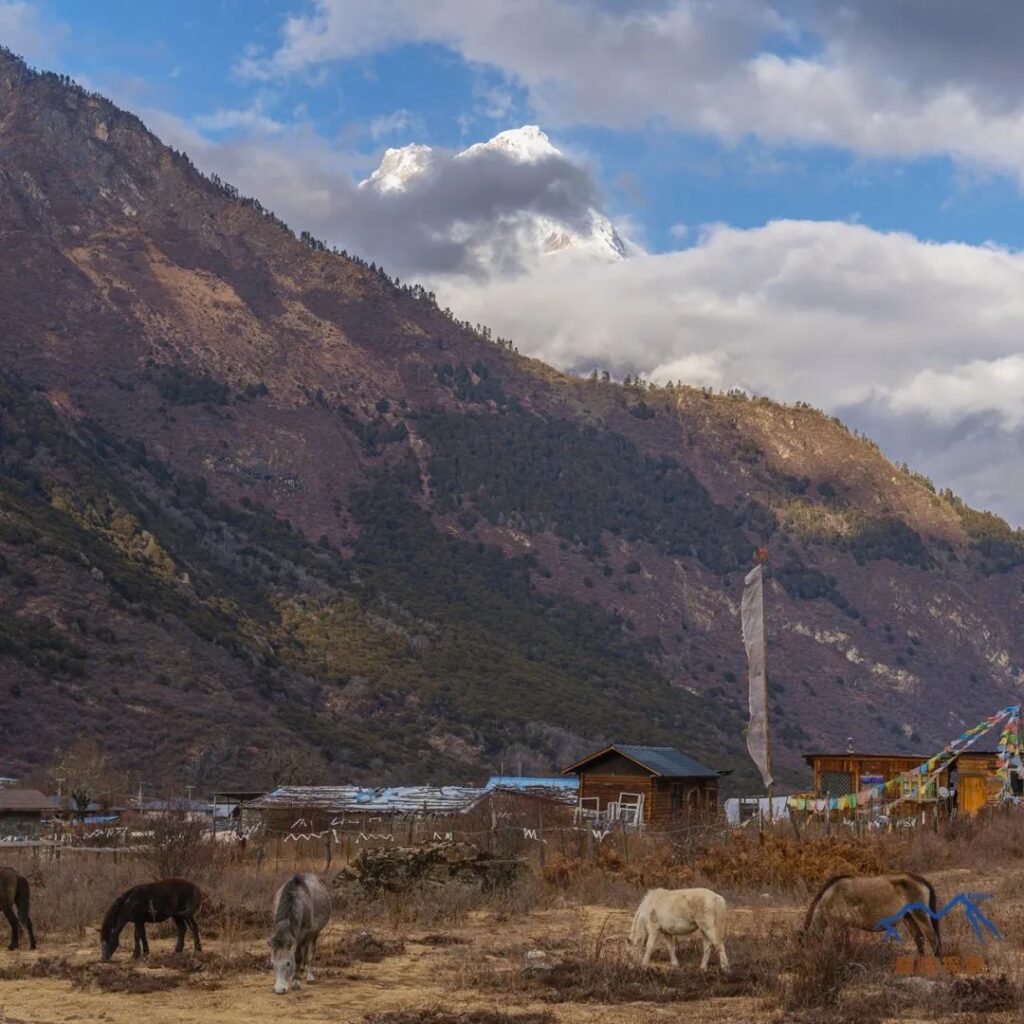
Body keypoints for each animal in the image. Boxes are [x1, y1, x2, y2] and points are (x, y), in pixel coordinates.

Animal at [802, 872, 937, 950]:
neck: (830, 895)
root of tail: (920, 880)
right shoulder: (844, 927)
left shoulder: (839, 926)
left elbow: (842, 947)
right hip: (909, 918)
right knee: (920, 940)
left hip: (921, 916)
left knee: (933, 941)